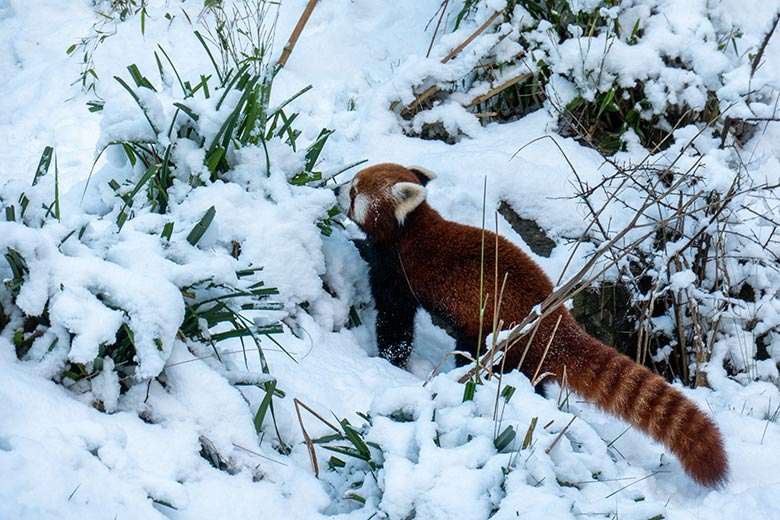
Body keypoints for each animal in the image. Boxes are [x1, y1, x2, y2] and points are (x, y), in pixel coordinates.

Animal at [342, 161, 732, 488]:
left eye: (354, 191)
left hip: (497, 338)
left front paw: (390, 360)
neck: (411, 229)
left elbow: (394, 323)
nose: (338, 187)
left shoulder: (400, 271)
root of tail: (558, 324)